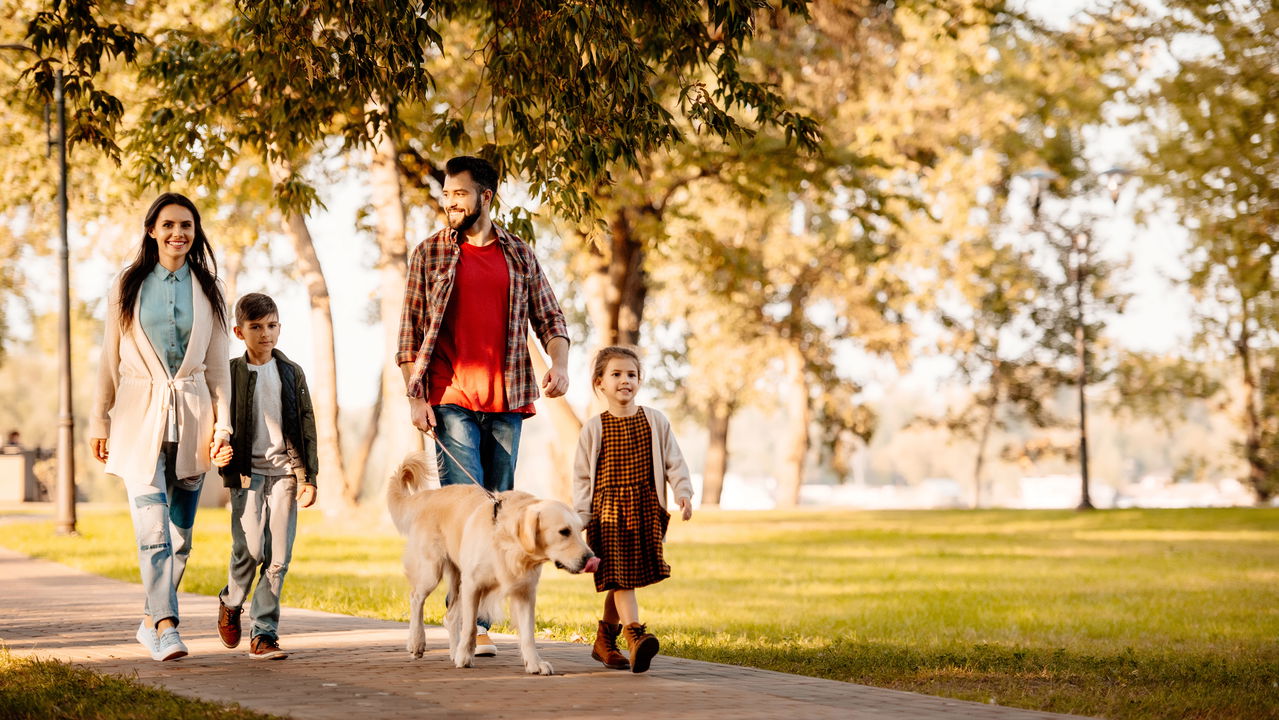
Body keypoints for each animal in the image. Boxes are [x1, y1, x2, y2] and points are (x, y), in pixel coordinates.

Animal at [383, 450, 598, 675]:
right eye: (564, 532)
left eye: (579, 530)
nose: (590, 559)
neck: (508, 545)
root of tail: (430, 495)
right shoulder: (473, 584)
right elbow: (469, 626)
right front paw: (465, 657)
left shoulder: (524, 590)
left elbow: (528, 633)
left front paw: (534, 663)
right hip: (431, 570)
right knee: (416, 598)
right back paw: (417, 642)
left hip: (457, 577)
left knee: (451, 616)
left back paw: (453, 650)